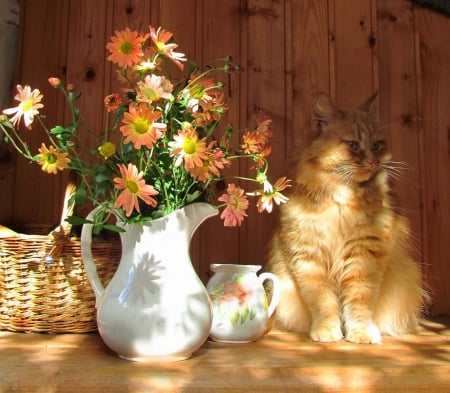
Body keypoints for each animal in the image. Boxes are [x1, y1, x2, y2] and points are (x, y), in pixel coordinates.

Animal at [268, 93, 426, 342]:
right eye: (353, 145)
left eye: (377, 145)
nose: (373, 162)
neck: (342, 205)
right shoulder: (309, 259)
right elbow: (323, 302)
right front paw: (327, 331)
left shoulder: (364, 256)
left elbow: (359, 303)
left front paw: (361, 334)